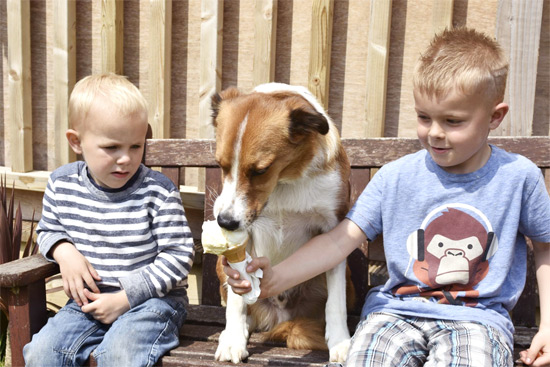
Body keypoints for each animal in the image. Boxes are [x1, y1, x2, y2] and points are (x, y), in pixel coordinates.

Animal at [211, 84, 354, 366]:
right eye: (220, 165)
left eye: (260, 170)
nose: (225, 222)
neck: (285, 182)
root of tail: (278, 318)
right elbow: (236, 299)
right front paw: (233, 339)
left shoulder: (334, 230)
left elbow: (336, 302)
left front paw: (340, 342)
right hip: (219, 264)